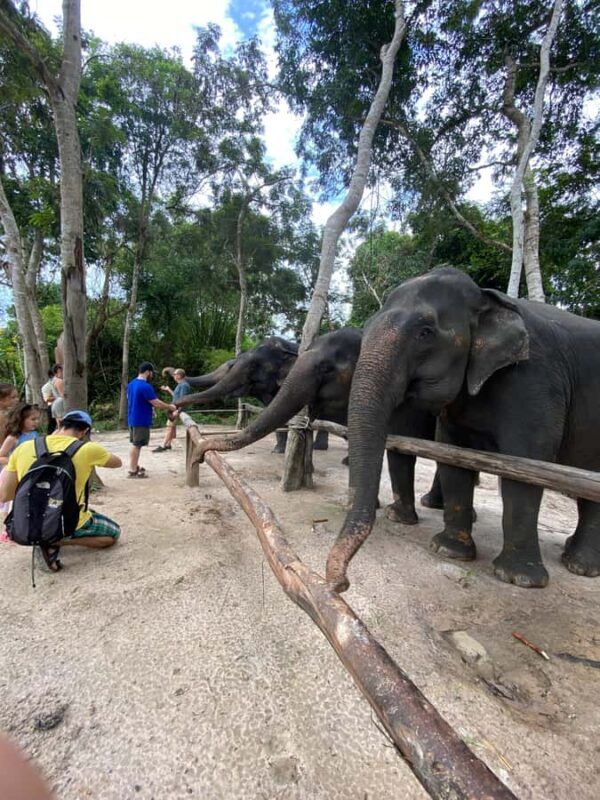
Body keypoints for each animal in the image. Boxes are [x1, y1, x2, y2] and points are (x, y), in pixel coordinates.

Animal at [169, 337, 329, 451]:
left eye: (254, 366)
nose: (173, 410)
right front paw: (278, 450)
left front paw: (278, 451)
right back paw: (319, 447)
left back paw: (318, 447)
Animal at [326, 266, 600, 593]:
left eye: (425, 332)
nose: (339, 584)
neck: (486, 297)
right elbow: (453, 458)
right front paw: (449, 551)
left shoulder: (536, 381)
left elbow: (527, 467)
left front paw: (518, 579)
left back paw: (581, 566)